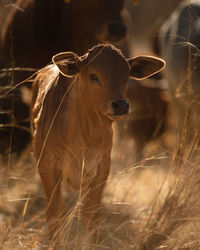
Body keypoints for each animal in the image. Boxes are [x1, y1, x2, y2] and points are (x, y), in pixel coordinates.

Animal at [30, 43, 165, 240]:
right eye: (93, 76)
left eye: (127, 75)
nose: (121, 105)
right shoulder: (47, 165)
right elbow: (55, 213)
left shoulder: (101, 167)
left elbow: (91, 216)